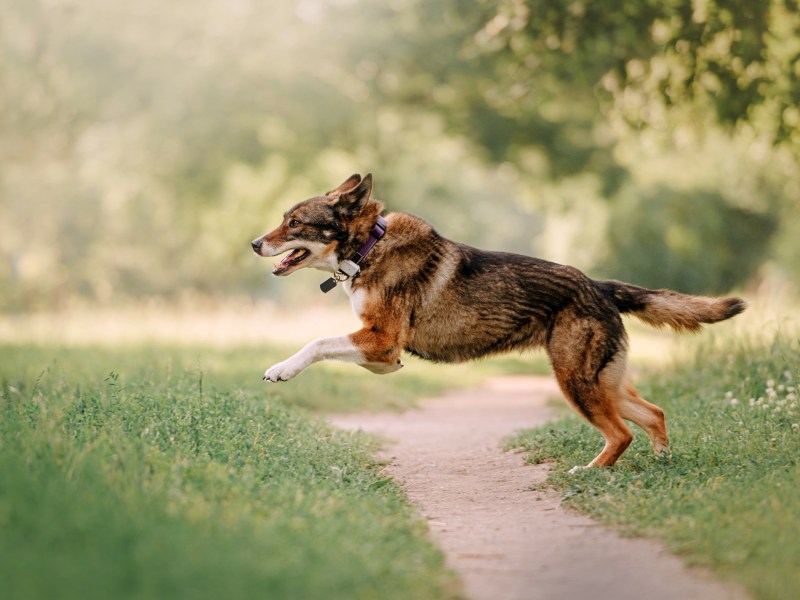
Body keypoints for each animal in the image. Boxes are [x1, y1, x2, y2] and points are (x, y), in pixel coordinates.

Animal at [253, 173, 748, 468]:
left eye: (294, 222)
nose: (255, 243)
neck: (367, 248)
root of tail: (599, 286)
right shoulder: (383, 356)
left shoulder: (382, 341)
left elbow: (316, 342)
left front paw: (281, 369)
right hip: (602, 382)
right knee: (654, 414)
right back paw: (662, 463)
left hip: (575, 381)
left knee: (622, 433)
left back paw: (591, 472)